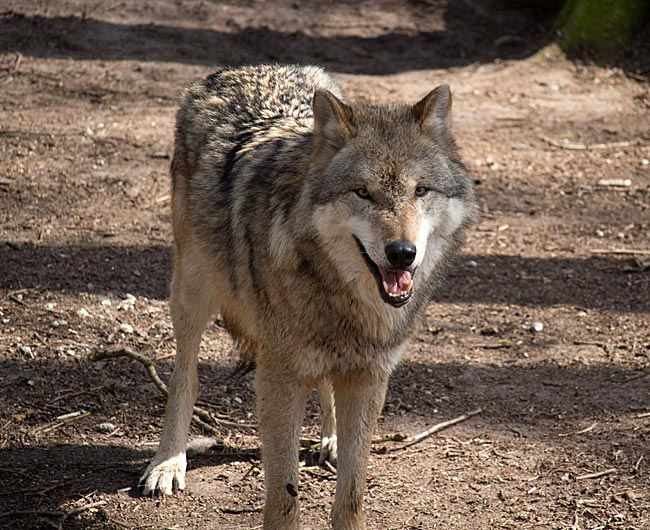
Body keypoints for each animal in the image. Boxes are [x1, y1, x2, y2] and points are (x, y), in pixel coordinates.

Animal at [140, 64, 476, 524]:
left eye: (420, 190)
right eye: (362, 192)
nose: (402, 254)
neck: (345, 301)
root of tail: (243, 69)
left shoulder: (370, 377)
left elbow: (351, 495)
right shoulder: (278, 378)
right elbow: (283, 496)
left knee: (326, 385)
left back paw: (329, 441)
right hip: (193, 292)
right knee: (183, 378)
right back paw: (168, 462)